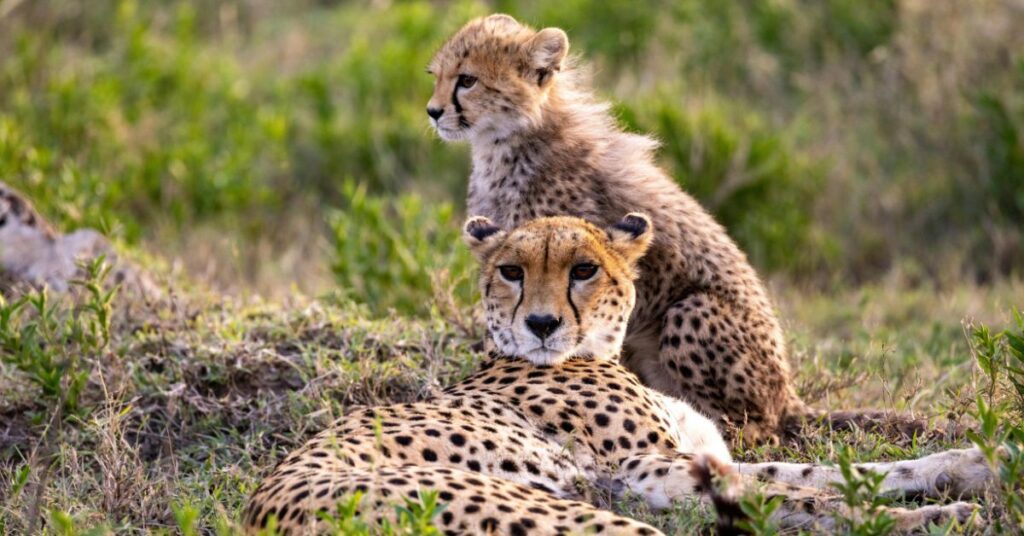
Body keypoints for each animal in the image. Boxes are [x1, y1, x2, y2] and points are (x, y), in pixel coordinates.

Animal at [243, 214, 994, 535]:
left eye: (584, 269)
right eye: (510, 271)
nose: (541, 324)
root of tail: (264, 511)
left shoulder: (686, 462)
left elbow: (833, 472)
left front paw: (976, 464)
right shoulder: (639, 473)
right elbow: (807, 495)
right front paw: (937, 515)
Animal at [425, 14, 948, 444]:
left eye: (467, 80)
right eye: (437, 76)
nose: (432, 111)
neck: (509, 140)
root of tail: (788, 396)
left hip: (691, 312)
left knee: (759, 429)